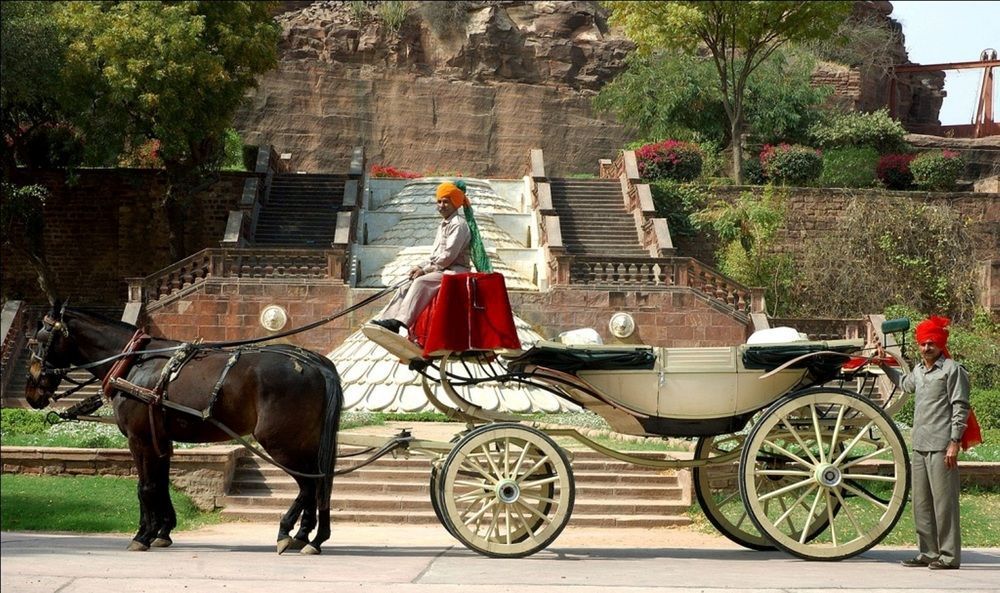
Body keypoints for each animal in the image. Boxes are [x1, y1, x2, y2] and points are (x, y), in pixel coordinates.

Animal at [24, 302, 344, 552]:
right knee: (319, 481)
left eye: (38, 341)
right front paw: (162, 531)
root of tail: (317, 363)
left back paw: (288, 531)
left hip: (280, 441)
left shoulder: (139, 439)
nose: (31, 390)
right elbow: (160, 483)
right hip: (305, 440)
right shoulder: (160, 440)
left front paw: (142, 534)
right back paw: (310, 536)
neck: (133, 362)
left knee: (310, 484)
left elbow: (145, 486)